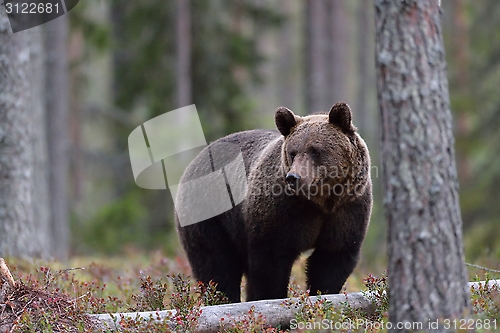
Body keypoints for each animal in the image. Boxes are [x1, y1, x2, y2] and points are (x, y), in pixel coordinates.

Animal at [175, 101, 372, 300]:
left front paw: (321, 293)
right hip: (208, 213)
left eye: (315, 151)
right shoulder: (280, 212)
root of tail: (194, 162)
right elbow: (271, 263)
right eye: (293, 152)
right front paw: (270, 297)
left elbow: (331, 260)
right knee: (216, 264)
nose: (294, 177)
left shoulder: (347, 210)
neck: (321, 202)